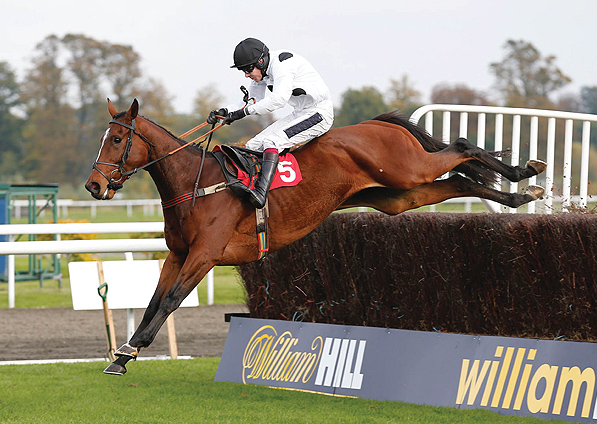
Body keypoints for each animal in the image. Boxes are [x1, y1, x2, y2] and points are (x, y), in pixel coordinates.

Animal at [85, 99, 544, 374]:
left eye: (119, 138)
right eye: (103, 137)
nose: (93, 186)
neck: (196, 185)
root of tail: (378, 124)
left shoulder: (205, 255)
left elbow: (171, 301)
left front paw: (127, 353)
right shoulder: (178, 255)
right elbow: (153, 302)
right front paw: (125, 352)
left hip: (407, 170)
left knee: (463, 148)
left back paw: (525, 171)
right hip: (398, 195)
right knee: (460, 181)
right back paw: (520, 193)